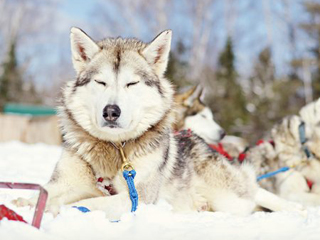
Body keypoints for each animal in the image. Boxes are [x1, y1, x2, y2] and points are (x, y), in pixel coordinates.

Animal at [13, 27, 302, 218]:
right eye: (101, 82)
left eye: (131, 83)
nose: (111, 112)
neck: (115, 149)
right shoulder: (63, 183)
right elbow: (42, 191)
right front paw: (25, 202)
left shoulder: (137, 198)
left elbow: (87, 204)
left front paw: (55, 208)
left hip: (231, 198)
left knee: (254, 195)